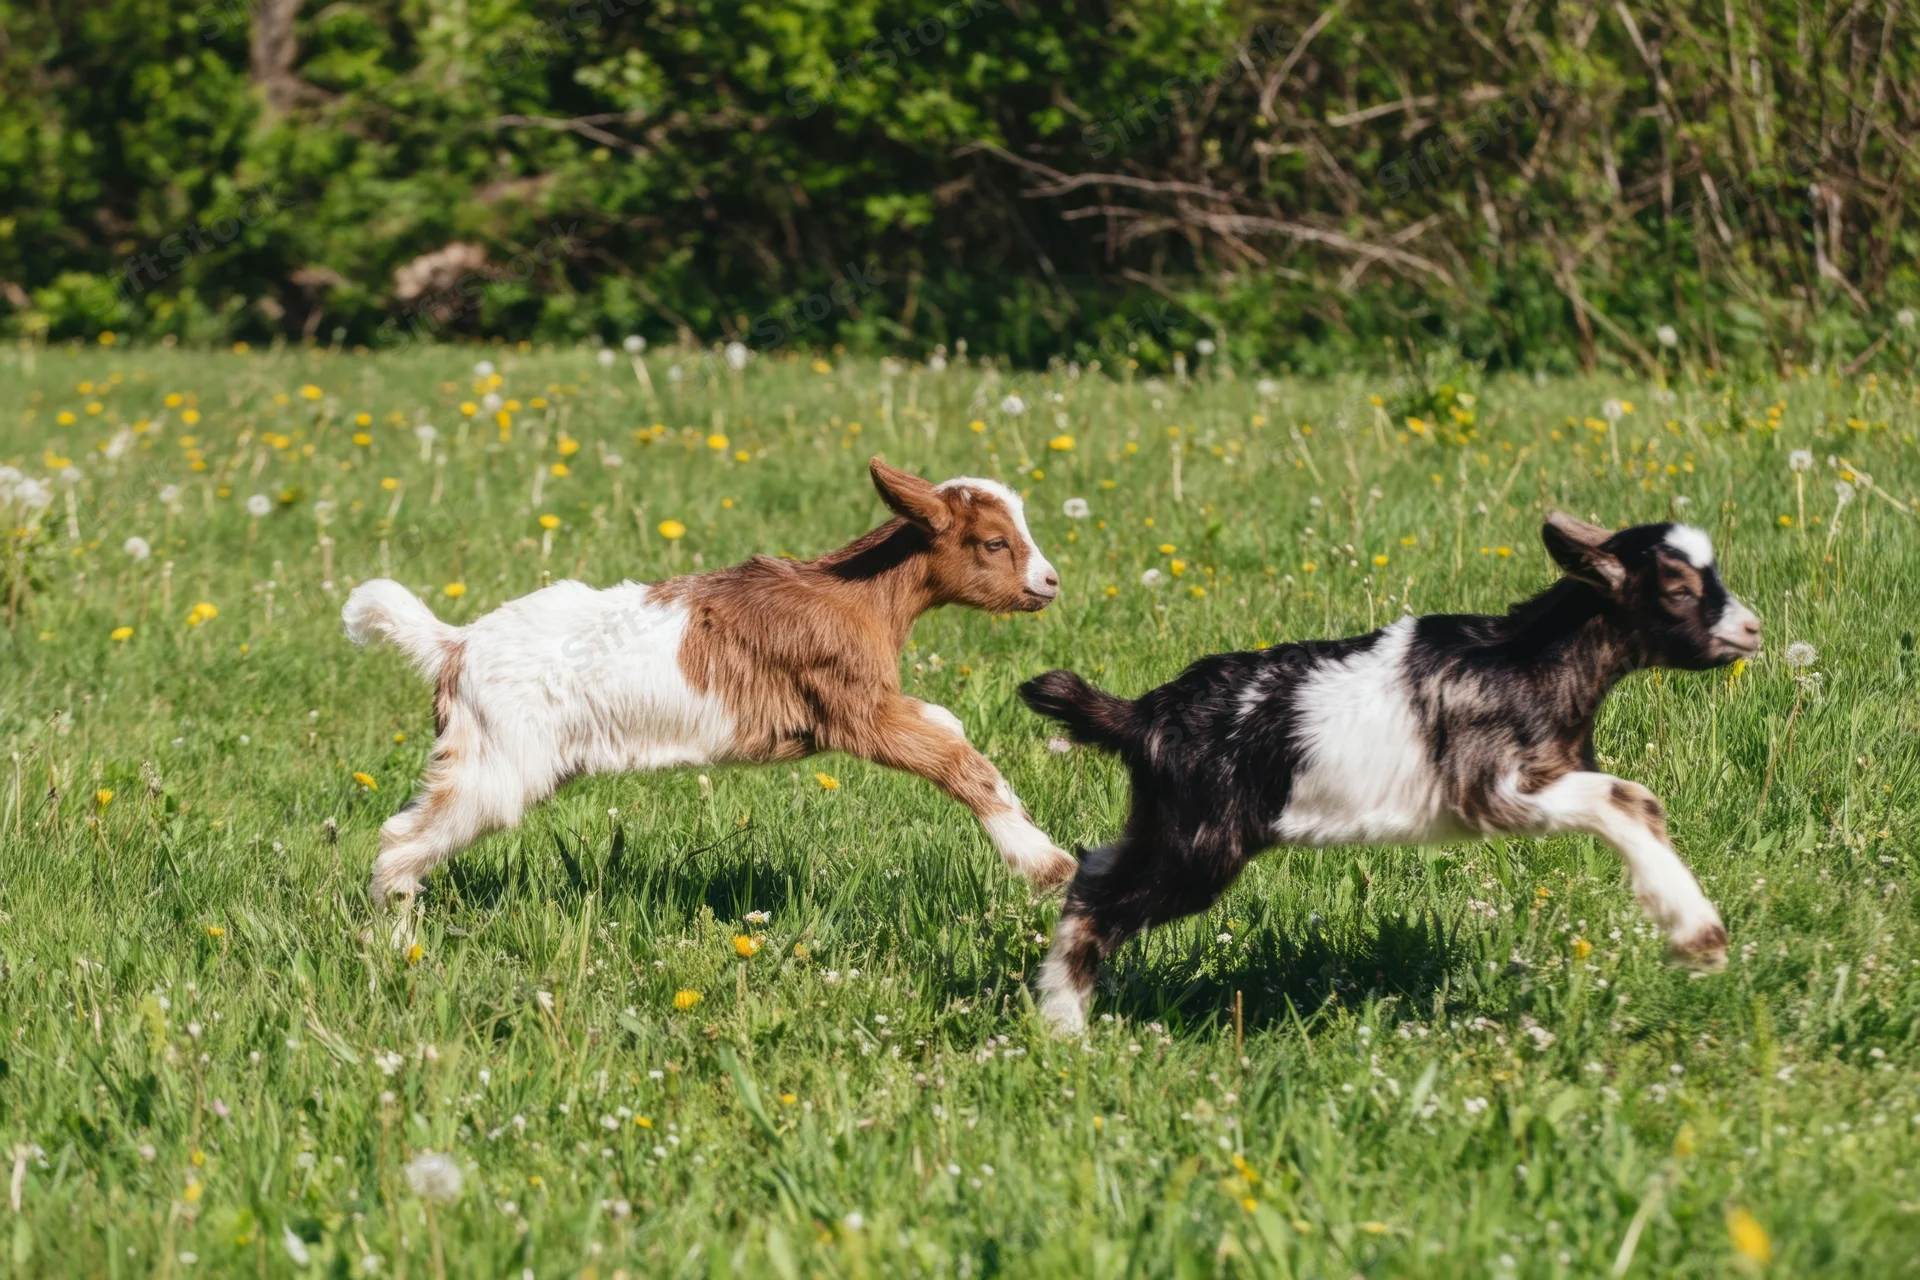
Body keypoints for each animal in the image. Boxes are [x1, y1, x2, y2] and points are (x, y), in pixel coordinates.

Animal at [343, 457, 1076, 905]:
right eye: (994, 543)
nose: (1049, 582)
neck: (856, 595)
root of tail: (455, 644)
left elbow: (947, 727)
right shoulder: (850, 708)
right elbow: (958, 760)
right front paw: (1048, 865)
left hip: (476, 751)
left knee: (407, 820)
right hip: (502, 759)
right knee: (403, 841)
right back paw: (396, 948)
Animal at [1019, 514, 1762, 1034]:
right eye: (1677, 588)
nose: (1752, 629)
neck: (1530, 660)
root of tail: (1142, 715)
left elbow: (1633, 800)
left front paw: (1693, 931)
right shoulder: (1493, 789)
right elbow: (1629, 798)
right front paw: (1698, 938)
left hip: (1165, 826)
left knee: (1093, 870)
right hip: (1200, 847)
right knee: (1100, 903)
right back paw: (1065, 1027)